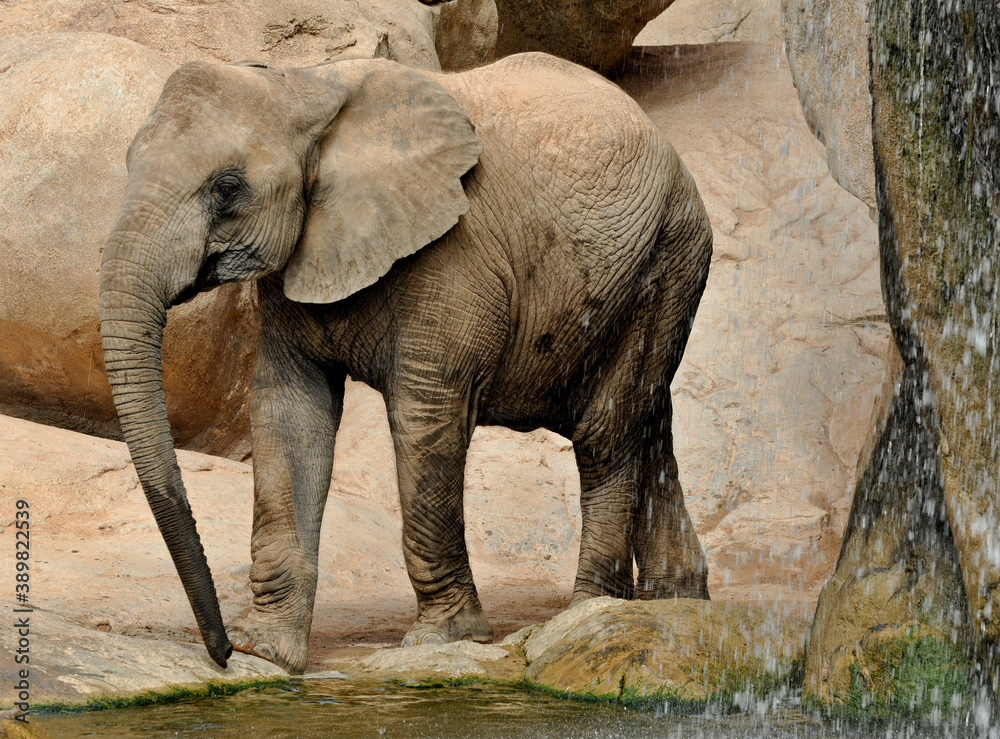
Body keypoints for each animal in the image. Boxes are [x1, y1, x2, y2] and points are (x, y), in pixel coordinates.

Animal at [99, 51, 713, 674]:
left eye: (227, 188)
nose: (221, 651)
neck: (305, 86)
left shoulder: (454, 251)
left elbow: (426, 414)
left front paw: (445, 639)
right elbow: (289, 412)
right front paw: (267, 651)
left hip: (666, 259)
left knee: (605, 432)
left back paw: (590, 612)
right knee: (648, 423)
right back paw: (676, 603)